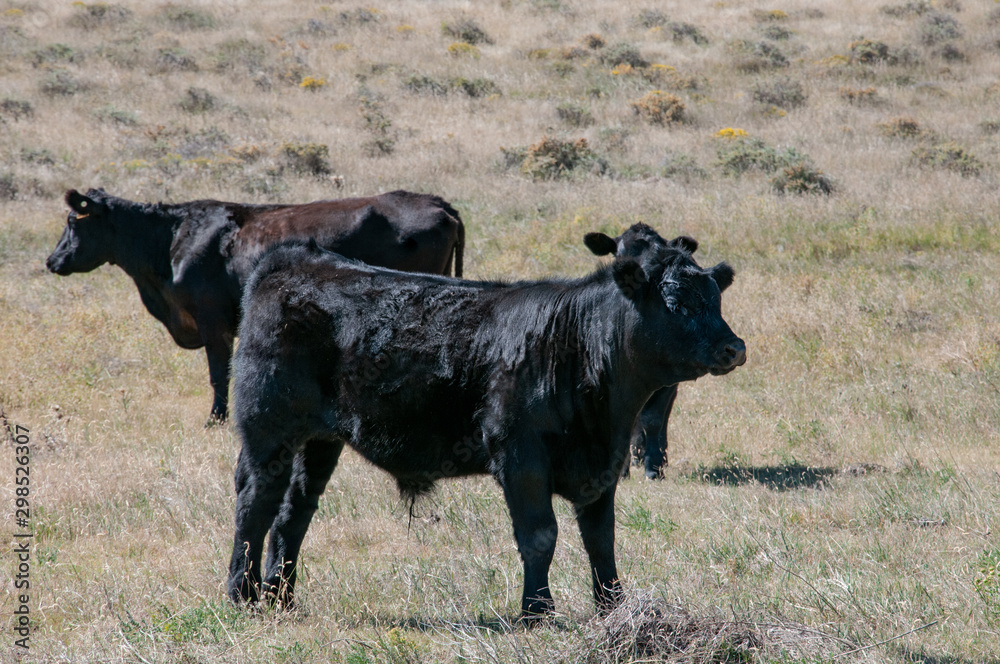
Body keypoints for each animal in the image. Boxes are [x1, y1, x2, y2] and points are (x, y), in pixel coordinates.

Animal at [45, 189, 466, 422]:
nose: (52, 260)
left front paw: (216, 419)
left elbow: (219, 374)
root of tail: (436, 202)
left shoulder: (212, 320)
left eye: (73, 221)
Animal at [227, 224, 744, 616]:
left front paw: (612, 607)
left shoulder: (603, 464)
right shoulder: (520, 458)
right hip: (266, 427)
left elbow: (602, 539)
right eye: (676, 301)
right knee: (256, 503)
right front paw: (537, 612)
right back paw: (241, 595)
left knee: (294, 512)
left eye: (715, 298)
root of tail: (293, 257)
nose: (734, 347)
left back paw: (281, 598)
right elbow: (540, 536)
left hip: (318, 441)